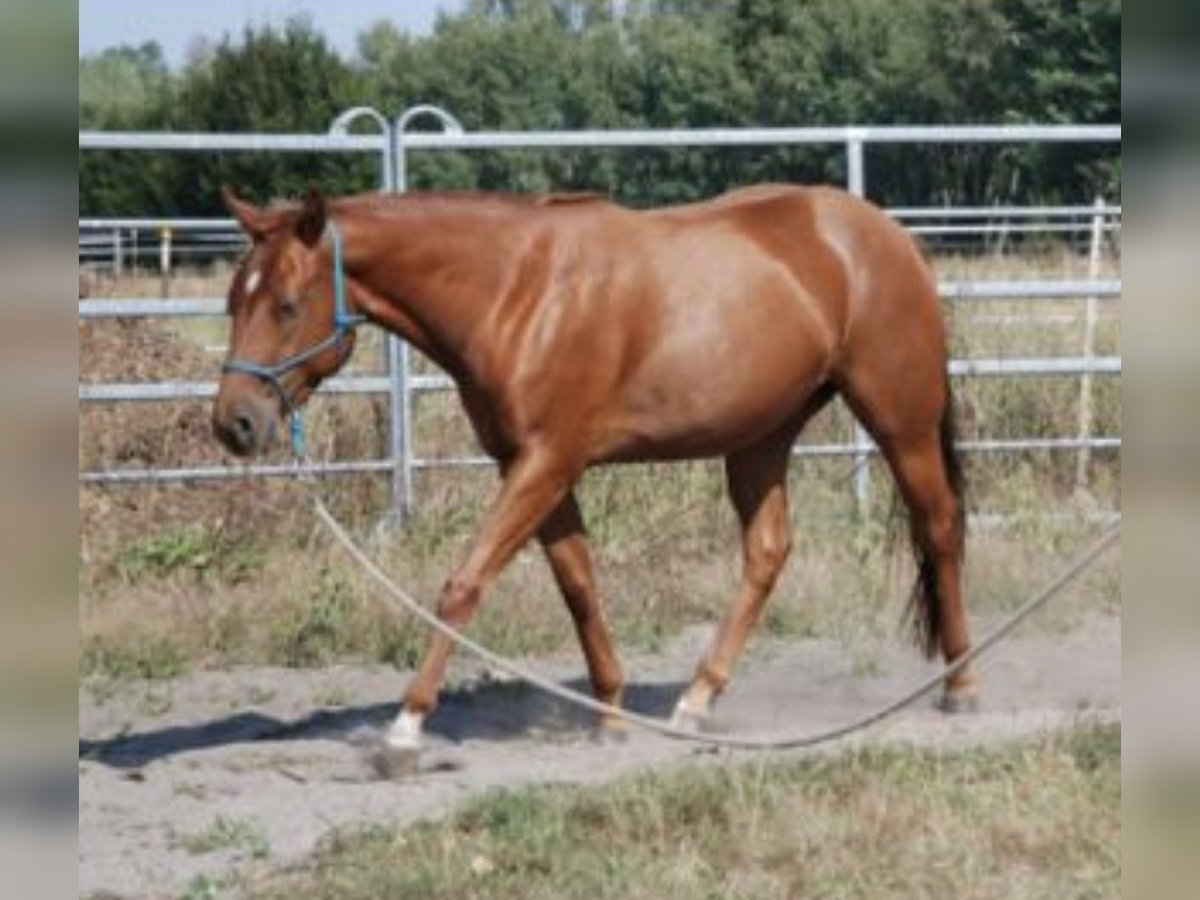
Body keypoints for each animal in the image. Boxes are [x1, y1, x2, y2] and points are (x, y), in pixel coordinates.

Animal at [208, 187, 974, 758]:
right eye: (233, 301)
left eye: (285, 305)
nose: (234, 423)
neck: (516, 291)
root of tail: (889, 236)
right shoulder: (536, 468)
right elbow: (578, 585)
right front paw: (608, 712)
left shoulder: (545, 463)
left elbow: (464, 583)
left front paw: (404, 727)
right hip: (761, 437)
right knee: (767, 551)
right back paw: (696, 700)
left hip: (899, 422)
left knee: (940, 528)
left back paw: (960, 687)